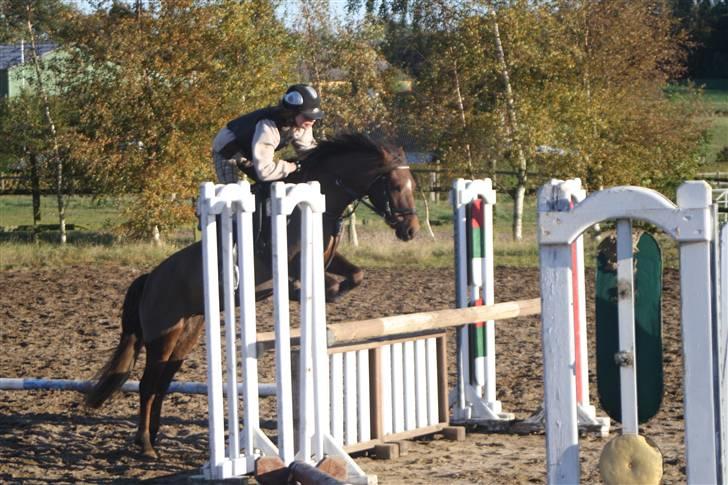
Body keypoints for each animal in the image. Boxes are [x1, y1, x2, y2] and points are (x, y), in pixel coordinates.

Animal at [84, 133, 420, 458]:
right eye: (394, 186)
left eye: (413, 186)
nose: (411, 231)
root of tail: (150, 279)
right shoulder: (292, 264)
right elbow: (313, 282)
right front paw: (311, 293)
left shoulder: (328, 258)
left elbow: (356, 275)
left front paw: (333, 294)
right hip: (162, 337)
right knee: (146, 385)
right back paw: (145, 445)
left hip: (186, 334)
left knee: (161, 385)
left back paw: (154, 437)